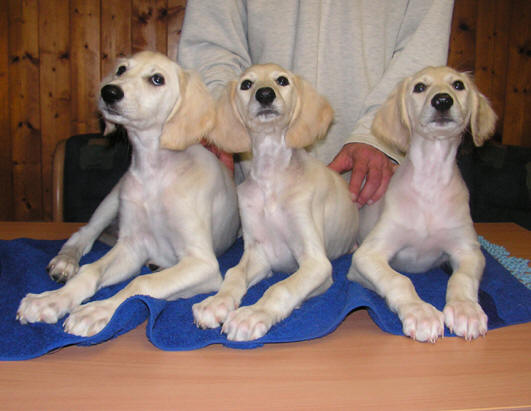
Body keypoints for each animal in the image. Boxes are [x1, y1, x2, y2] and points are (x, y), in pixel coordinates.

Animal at [17, 51, 240, 337]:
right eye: (121, 70)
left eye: (157, 79)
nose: (109, 92)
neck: (155, 174)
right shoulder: (131, 246)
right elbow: (90, 271)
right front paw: (52, 300)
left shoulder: (203, 263)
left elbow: (141, 283)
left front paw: (96, 311)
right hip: (114, 198)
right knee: (84, 234)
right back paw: (65, 262)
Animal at [192, 64, 359, 341]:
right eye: (246, 85)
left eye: (282, 81)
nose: (265, 95)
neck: (272, 179)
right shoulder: (259, 253)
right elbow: (234, 273)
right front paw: (216, 303)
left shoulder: (316, 262)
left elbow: (281, 288)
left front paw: (252, 315)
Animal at [348, 66, 497, 342]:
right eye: (419, 87)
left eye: (458, 85)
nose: (442, 100)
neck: (430, 184)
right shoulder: (368, 254)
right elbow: (399, 280)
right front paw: (420, 313)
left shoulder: (468, 251)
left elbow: (462, 278)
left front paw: (465, 310)